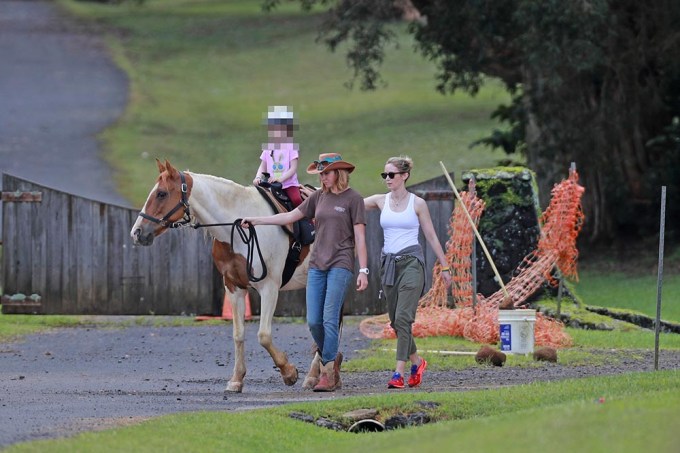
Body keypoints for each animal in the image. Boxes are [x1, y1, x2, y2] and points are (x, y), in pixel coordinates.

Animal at [130, 159, 322, 392]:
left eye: (161, 193)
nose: (137, 232)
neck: (240, 228)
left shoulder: (269, 287)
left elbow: (264, 336)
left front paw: (289, 372)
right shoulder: (233, 287)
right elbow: (238, 335)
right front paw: (236, 379)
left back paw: (314, 375)